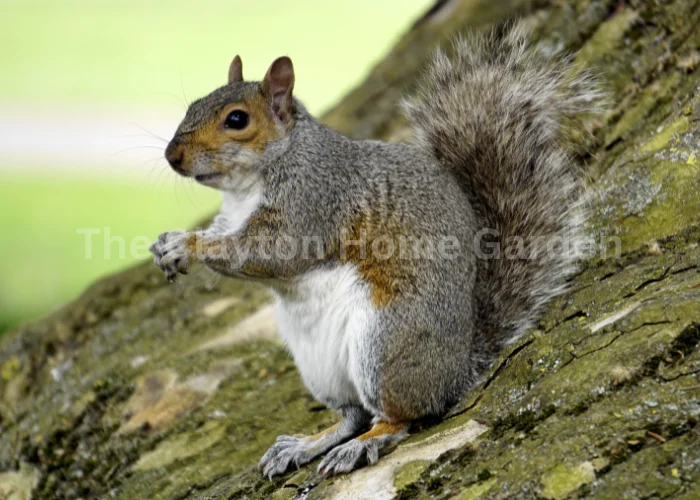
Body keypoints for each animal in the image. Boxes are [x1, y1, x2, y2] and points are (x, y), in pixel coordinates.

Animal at [149, 25, 600, 477]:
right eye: (193, 105)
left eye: (237, 119)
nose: (172, 156)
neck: (249, 183)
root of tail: (457, 371)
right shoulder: (233, 217)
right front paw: (166, 243)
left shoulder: (312, 203)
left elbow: (270, 253)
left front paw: (188, 245)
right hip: (321, 368)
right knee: (353, 415)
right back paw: (307, 444)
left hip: (384, 343)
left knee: (400, 417)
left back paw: (364, 444)